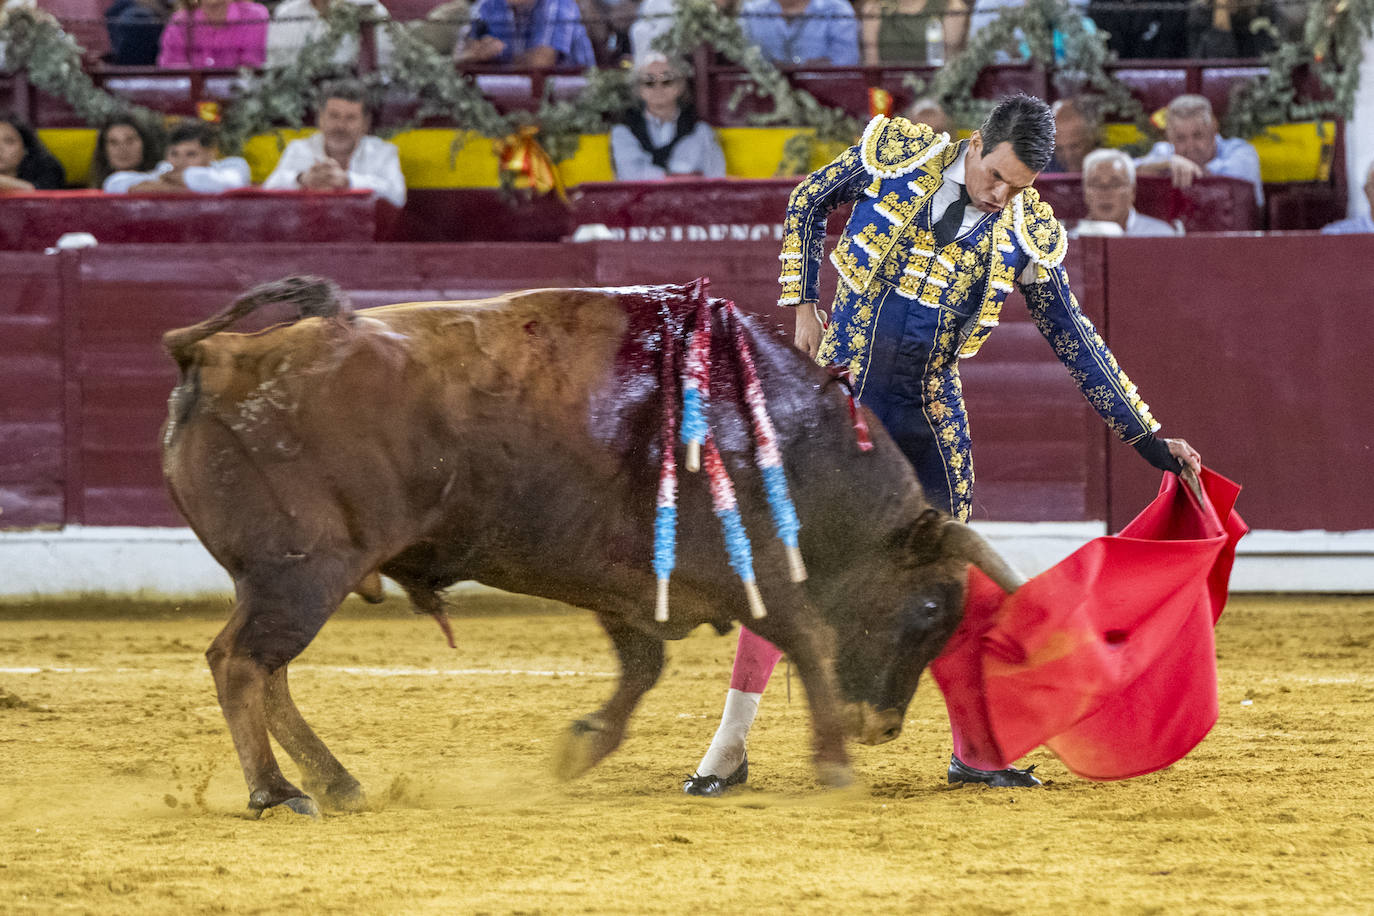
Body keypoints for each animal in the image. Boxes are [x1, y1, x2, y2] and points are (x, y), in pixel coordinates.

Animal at [158, 277, 1022, 818]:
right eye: (930, 606)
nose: (882, 728)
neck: (788, 442)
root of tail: (218, 355)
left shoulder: (624, 579)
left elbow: (644, 666)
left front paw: (576, 751)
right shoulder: (757, 576)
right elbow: (807, 640)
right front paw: (836, 763)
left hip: (286, 580)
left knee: (266, 671)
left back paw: (335, 783)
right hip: (301, 573)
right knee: (242, 664)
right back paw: (277, 792)